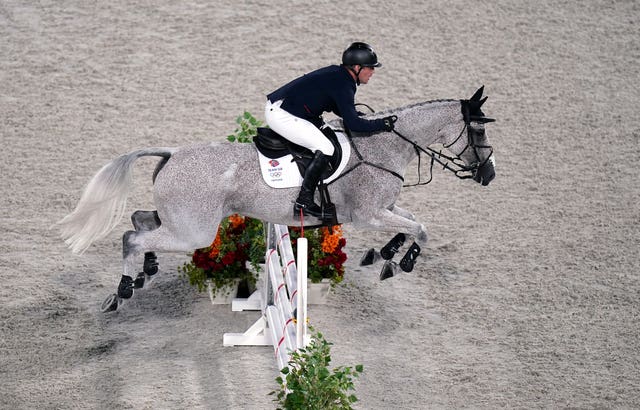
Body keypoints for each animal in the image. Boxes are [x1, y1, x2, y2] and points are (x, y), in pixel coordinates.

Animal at [57, 85, 496, 310]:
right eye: (478, 131)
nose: (488, 175)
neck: (383, 146)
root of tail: (172, 154)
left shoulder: (384, 209)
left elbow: (414, 223)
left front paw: (385, 255)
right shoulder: (368, 214)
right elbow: (421, 230)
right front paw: (400, 262)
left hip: (183, 223)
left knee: (140, 219)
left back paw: (144, 272)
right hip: (193, 232)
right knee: (132, 236)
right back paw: (122, 291)